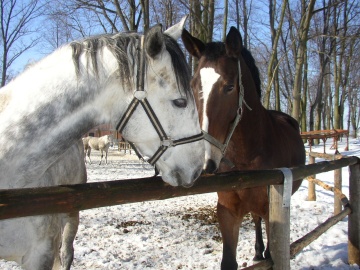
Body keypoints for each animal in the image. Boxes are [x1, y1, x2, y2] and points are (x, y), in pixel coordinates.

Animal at [183, 26, 304, 268]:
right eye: (193, 85)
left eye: (229, 87)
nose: (201, 160)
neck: (247, 155)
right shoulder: (227, 211)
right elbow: (229, 261)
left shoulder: (271, 211)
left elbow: (272, 254)